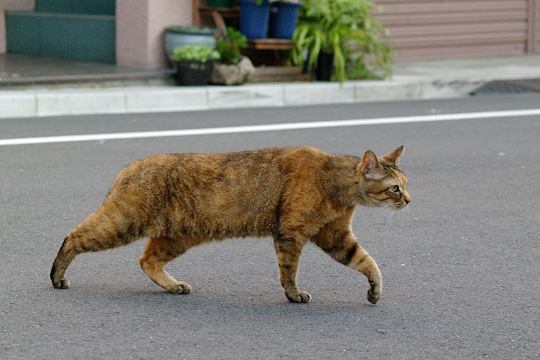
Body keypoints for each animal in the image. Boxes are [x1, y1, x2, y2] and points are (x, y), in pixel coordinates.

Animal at [50, 145, 410, 302]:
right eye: (395, 188)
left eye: (406, 184)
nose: (409, 200)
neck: (335, 183)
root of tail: (127, 167)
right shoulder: (290, 233)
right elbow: (289, 271)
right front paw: (293, 294)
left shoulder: (335, 236)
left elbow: (367, 262)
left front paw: (375, 290)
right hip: (122, 221)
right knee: (73, 236)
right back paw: (57, 277)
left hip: (177, 236)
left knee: (147, 260)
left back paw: (173, 285)